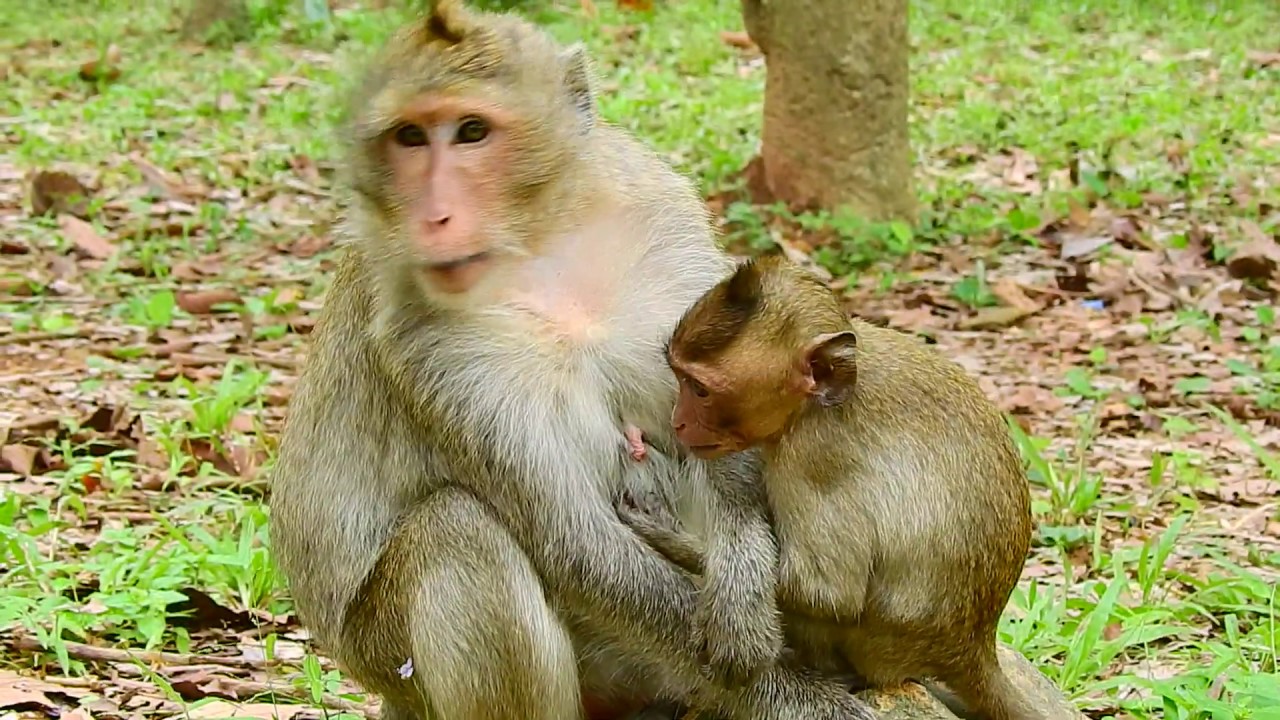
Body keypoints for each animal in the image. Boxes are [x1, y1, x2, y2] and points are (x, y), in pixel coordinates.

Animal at [266, 2, 878, 720]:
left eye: (471, 131)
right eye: (409, 137)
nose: (434, 217)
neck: (538, 245)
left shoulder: (657, 217)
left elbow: (719, 426)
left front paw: (742, 593)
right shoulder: (422, 334)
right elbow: (572, 539)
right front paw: (803, 695)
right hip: (387, 656)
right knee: (459, 531)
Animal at [616, 254, 1042, 720]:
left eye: (700, 389)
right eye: (679, 376)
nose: (677, 420)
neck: (814, 405)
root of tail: (973, 644)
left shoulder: (811, 458)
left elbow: (828, 594)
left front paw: (666, 535)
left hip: (879, 646)